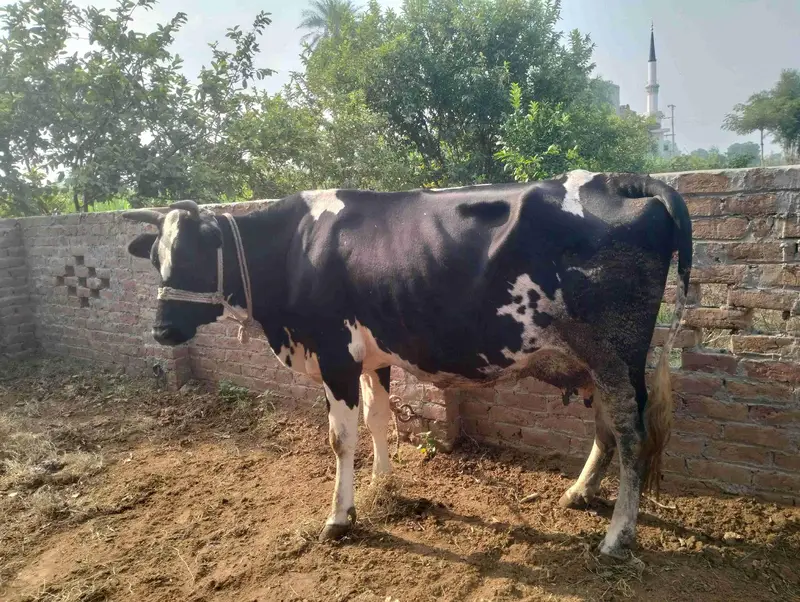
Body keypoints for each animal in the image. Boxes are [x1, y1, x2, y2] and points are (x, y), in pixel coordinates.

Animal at [122, 170, 692, 559]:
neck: (293, 251)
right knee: (607, 428)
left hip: (616, 354)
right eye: (155, 259)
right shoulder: (371, 355)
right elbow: (379, 417)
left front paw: (339, 516)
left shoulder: (335, 355)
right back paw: (578, 493)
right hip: (596, 361)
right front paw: (381, 484)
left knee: (632, 434)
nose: (162, 331)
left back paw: (617, 535)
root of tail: (616, 179)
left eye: (196, 255)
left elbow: (341, 438)